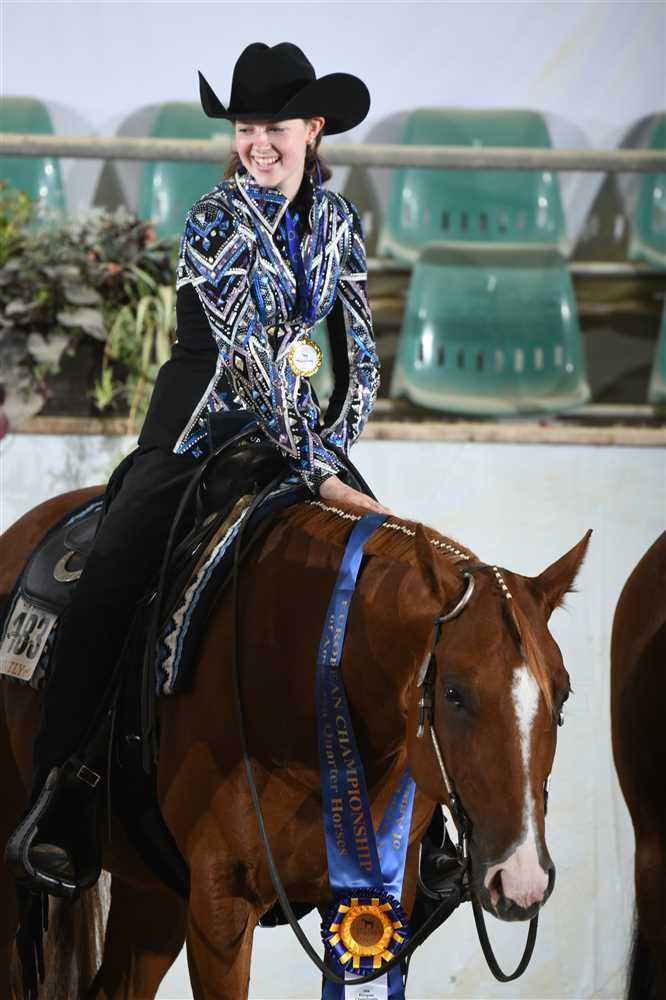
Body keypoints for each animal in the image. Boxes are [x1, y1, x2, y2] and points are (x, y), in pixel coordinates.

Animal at [0, 484, 591, 999]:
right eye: (453, 693)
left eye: (562, 693)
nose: (521, 878)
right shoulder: (219, 907)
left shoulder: (377, 901)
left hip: (154, 890)